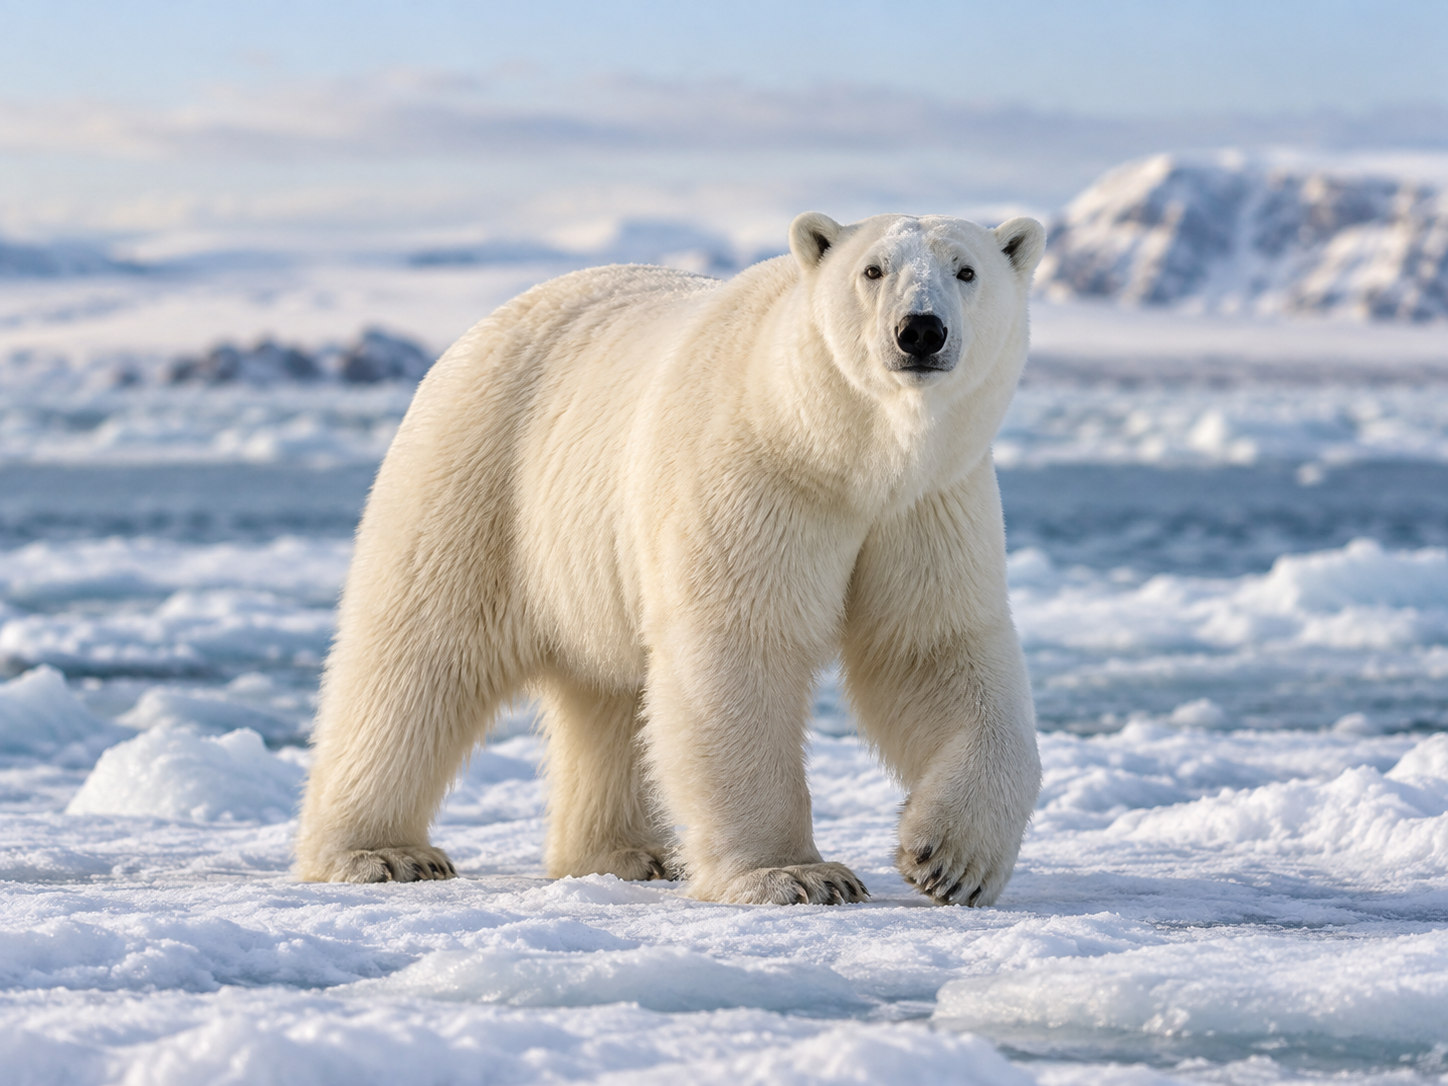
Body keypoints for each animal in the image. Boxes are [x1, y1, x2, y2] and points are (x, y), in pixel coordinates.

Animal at [295, 210, 1045, 906]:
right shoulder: (757, 478)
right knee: (418, 654)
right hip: (483, 478)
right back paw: (381, 853)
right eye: (873, 269)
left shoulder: (927, 505)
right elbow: (740, 648)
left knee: (611, 692)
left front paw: (951, 862)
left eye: (966, 270)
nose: (920, 330)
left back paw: (628, 852)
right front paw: (796, 875)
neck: (842, 452)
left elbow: (930, 649)